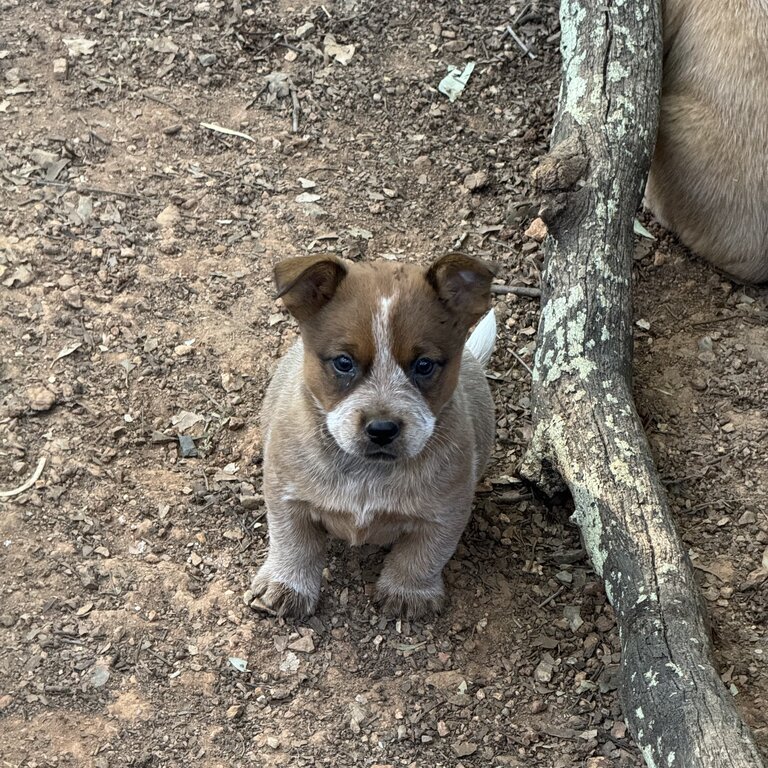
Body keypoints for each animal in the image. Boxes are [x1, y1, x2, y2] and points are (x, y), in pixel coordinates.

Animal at [252, 255, 498, 620]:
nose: (382, 428)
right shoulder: (286, 495)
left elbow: (422, 556)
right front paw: (287, 585)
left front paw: (407, 592)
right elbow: (293, 543)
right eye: (343, 362)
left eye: (424, 364)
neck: (367, 474)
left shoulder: (446, 511)